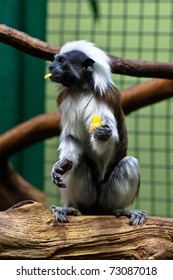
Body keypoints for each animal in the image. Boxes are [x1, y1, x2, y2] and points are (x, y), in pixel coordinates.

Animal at [47, 40, 147, 225]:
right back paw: (71, 207)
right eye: (55, 60)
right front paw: (60, 164)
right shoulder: (67, 101)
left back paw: (120, 210)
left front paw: (103, 135)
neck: (81, 89)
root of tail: (96, 208)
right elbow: (71, 138)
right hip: (89, 197)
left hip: (107, 197)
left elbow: (107, 145)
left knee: (129, 163)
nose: (51, 67)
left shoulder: (102, 100)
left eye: (61, 61)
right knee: (76, 163)